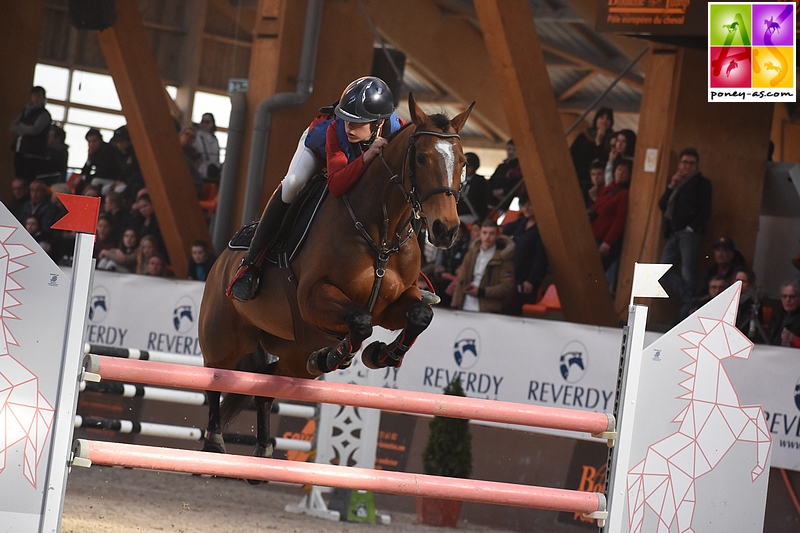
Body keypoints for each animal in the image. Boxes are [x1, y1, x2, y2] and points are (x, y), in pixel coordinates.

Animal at [199, 94, 472, 462]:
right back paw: (214, 442)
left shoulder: (392, 305)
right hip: (223, 337)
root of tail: (221, 261)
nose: (446, 230)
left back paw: (264, 449)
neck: (380, 233)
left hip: (293, 354)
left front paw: (381, 355)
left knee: (267, 384)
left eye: (462, 161)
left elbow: (419, 315)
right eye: (421, 157)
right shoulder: (313, 299)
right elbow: (359, 322)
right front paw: (337, 355)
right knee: (216, 378)